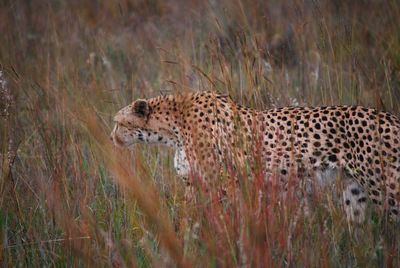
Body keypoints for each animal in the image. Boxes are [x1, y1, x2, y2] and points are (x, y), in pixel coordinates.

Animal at [111, 91, 400, 221]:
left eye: (117, 122)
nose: (111, 137)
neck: (171, 128)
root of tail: (390, 117)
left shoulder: (226, 183)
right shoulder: (194, 184)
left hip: (386, 189)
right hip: (355, 191)